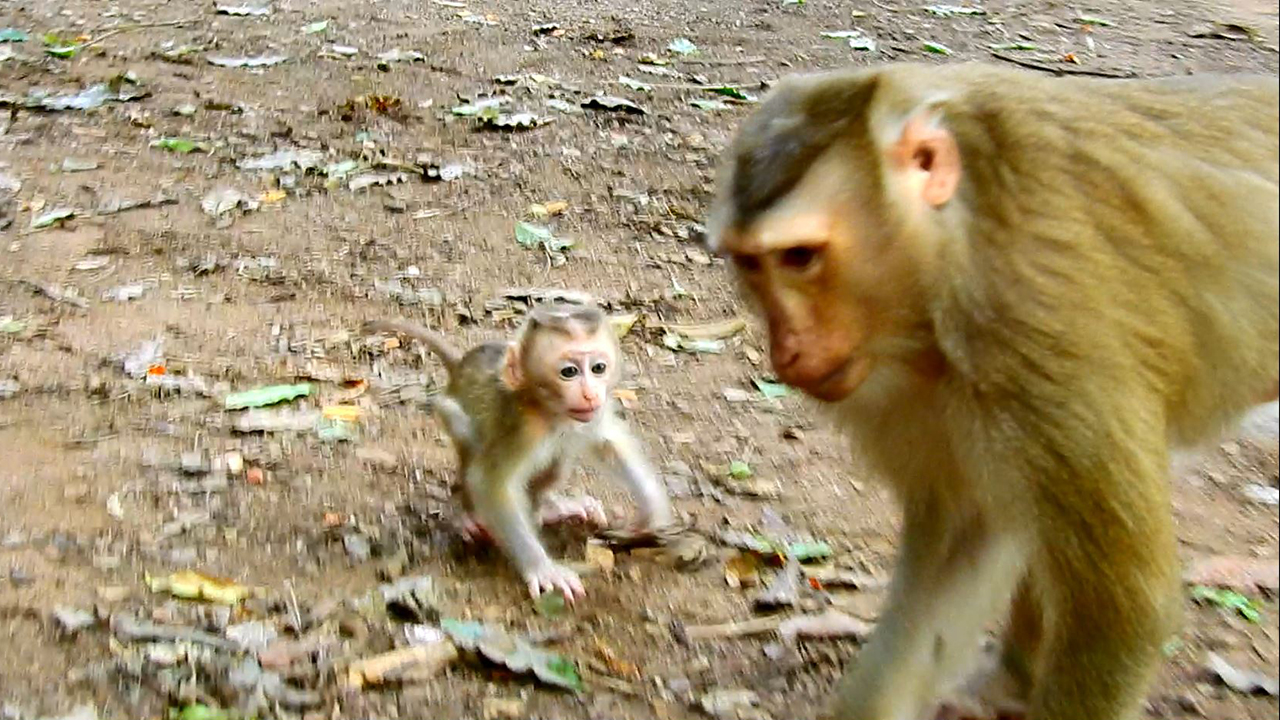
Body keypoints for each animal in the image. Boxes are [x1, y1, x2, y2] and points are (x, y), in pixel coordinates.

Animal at [366, 301, 675, 599]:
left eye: (598, 368)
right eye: (569, 372)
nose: (589, 394)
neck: (550, 412)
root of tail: (460, 365)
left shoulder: (591, 415)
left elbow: (609, 445)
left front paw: (652, 512)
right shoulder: (524, 427)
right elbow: (490, 483)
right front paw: (543, 568)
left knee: (558, 457)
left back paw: (550, 507)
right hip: (448, 411)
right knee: (469, 438)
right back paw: (467, 513)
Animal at [706, 63, 1274, 717]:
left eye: (800, 256)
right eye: (752, 263)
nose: (788, 349)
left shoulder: (1037, 329)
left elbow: (1124, 608)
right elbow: (965, 538)